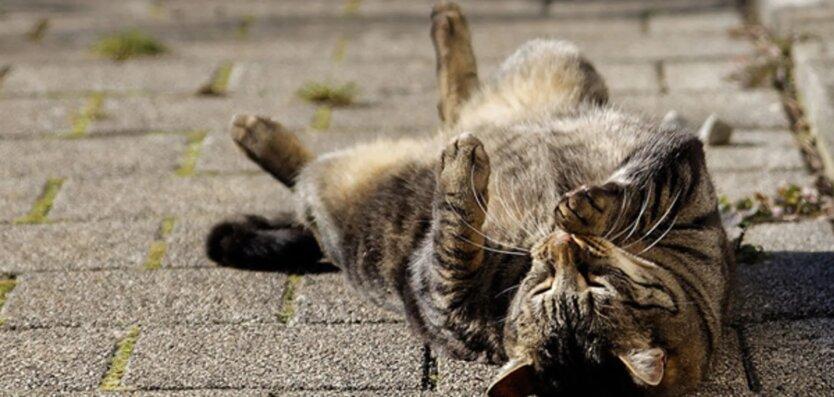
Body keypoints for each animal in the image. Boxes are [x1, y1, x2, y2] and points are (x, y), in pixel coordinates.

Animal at [205, 1, 732, 394]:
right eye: (541, 288)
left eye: (595, 286)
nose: (557, 244)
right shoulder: (679, 161)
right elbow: (630, 186)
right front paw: (579, 207)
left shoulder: (439, 297)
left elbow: (453, 236)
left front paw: (465, 177)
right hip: (554, 57)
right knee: (457, 102)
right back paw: (446, 26)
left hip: (335, 193)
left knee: (308, 170)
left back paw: (256, 133)